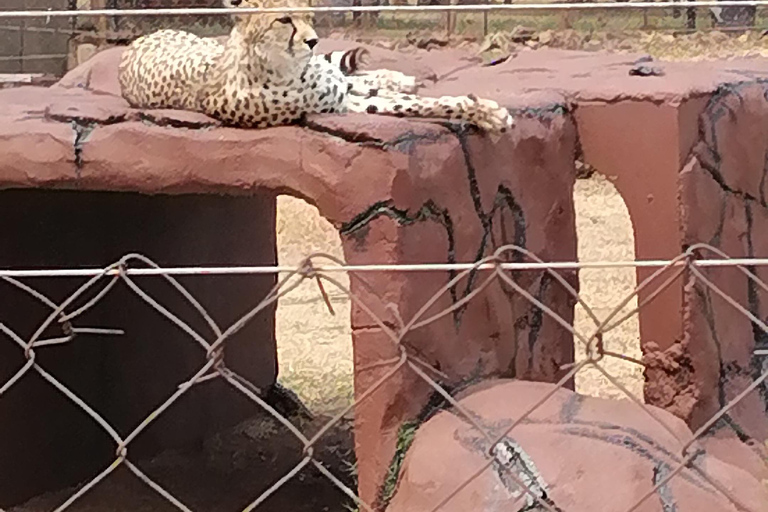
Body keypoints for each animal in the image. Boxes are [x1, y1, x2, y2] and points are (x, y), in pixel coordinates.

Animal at [118, 0, 516, 134]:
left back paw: (398, 76)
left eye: (308, 13)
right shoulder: (342, 104)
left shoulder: (338, 92)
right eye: (284, 20)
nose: (313, 40)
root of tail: (132, 46)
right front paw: (486, 113)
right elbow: (415, 106)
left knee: (354, 75)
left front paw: (484, 109)